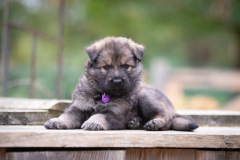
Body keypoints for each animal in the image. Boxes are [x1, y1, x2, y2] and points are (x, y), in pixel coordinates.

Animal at [43, 37, 199, 131]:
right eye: (106, 67)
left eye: (125, 66)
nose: (117, 81)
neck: (103, 93)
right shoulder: (79, 107)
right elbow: (68, 116)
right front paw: (56, 121)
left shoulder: (115, 114)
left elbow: (101, 115)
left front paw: (94, 122)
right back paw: (135, 122)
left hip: (145, 95)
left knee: (167, 117)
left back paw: (154, 123)